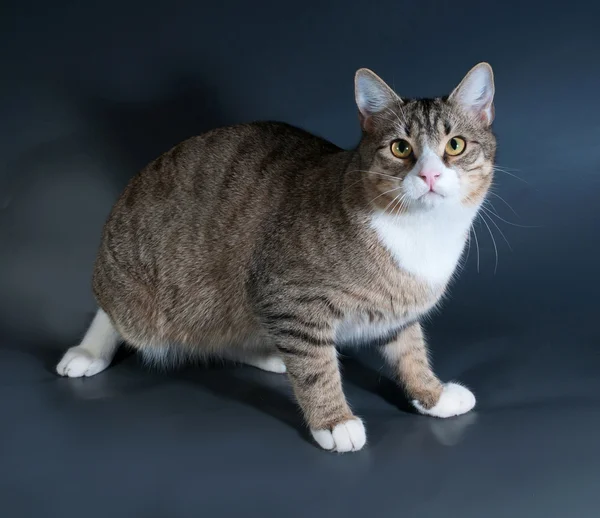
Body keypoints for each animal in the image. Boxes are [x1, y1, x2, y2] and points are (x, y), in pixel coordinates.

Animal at [56, 63, 496, 456]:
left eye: (455, 145)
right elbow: (316, 366)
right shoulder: (287, 296)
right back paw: (89, 351)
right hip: (141, 293)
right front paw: (334, 422)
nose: (429, 176)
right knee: (115, 313)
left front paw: (431, 394)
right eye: (401, 148)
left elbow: (410, 350)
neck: (421, 232)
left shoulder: (397, 307)